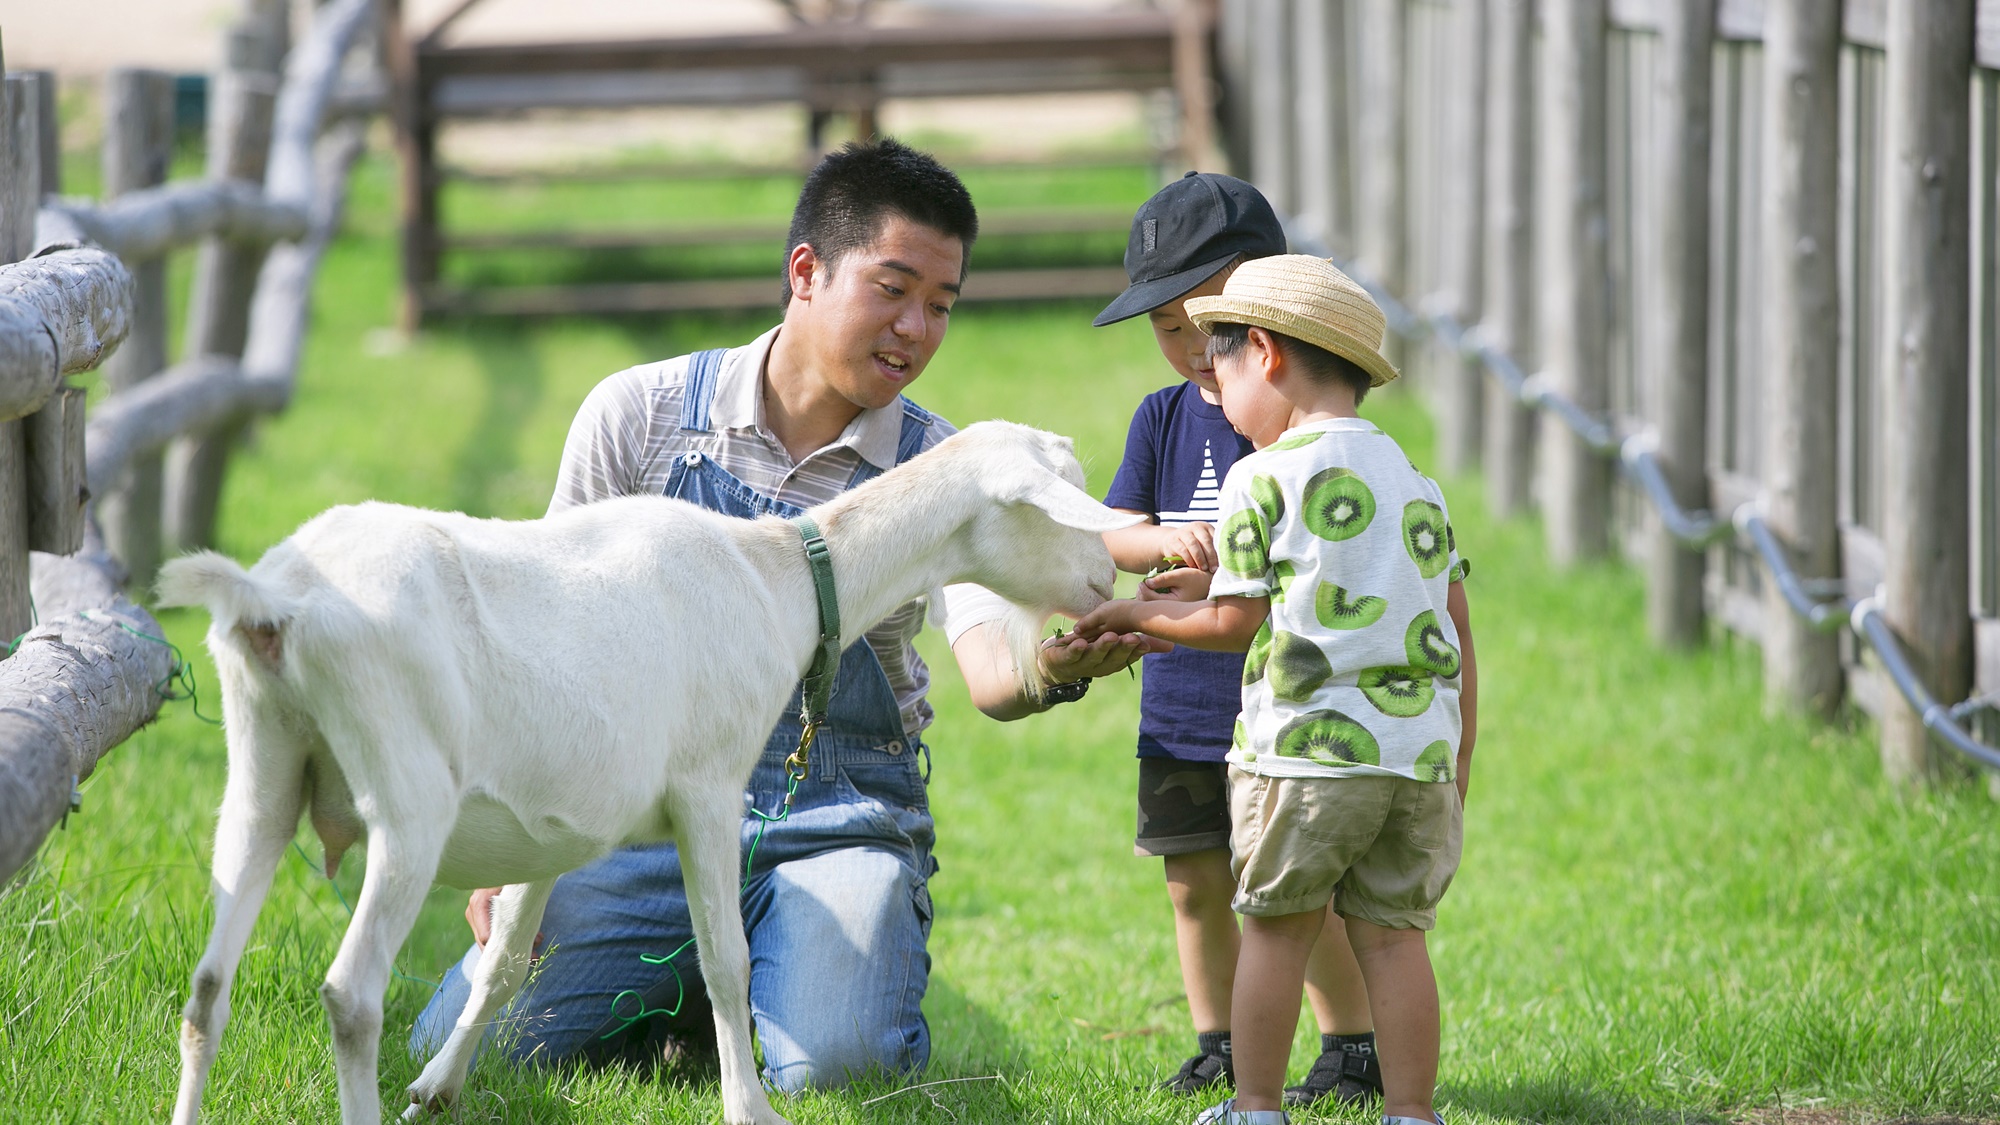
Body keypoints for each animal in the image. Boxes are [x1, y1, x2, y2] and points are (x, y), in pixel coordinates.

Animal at [156, 418, 1144, 1120]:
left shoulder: (555, 825)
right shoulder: (708, 787)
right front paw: (751, 1110)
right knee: (351, 994)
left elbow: (506, 961)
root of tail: (275, 601)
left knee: (206, 987)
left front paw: (437, 1086)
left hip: (263, 769)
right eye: (1060, 501)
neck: (780, 576)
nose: (1107, 582)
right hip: (408, 798)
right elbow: (726, 962)